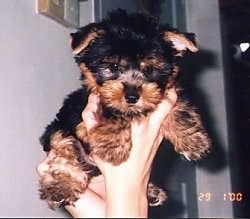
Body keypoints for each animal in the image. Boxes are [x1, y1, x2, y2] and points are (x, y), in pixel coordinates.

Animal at [38, 9, 211, 209]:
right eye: (113, 66)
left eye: (150, 69)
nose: (132, 97)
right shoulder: (79, 113)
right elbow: (109, 109)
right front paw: (113, 145)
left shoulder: (166, 94)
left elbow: (177, 106)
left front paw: (193, 140)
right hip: (60, 130)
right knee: (64, 148)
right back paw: (61, 186)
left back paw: (151, 192)